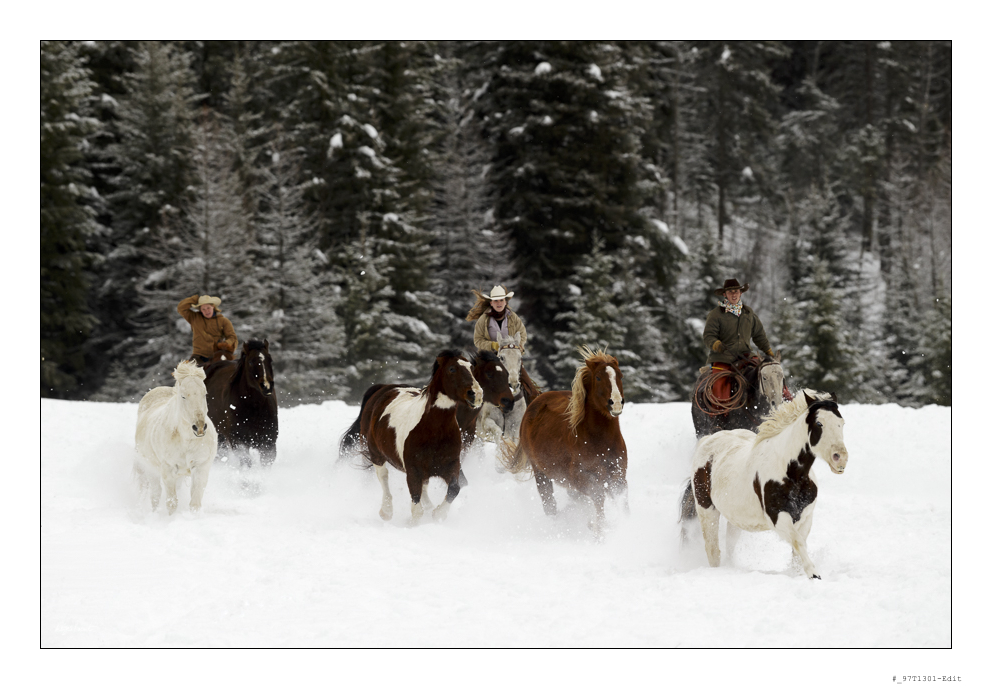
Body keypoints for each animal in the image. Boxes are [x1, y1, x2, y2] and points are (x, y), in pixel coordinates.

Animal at [134, 360, 218, 514]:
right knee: (155, 495)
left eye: (204, 394)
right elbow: (171, 503)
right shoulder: (168, 469)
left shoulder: (201, 467)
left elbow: (195, 503)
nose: (199, 427)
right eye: (183, 396)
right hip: (151, 470)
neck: (186, 440)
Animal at [204, 339, 278, 467]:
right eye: (251, 362)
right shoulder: (239, 442)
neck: (255, 408)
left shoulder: (269, 442)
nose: (266, 386)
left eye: (270, 359)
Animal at [357, 349, 482, 523]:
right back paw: (386, 511)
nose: (476, 394)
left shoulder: (451, 465)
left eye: (471, 368)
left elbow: (454, 489)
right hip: (376, 453)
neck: (434, 431)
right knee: (383, 476)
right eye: (452, 369)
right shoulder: (413, 469)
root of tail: (384, 388)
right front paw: (415, 523)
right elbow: (416, 504)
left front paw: (438, 514)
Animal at [502, 346, 627, 537]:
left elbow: (622, 502)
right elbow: (598, 497)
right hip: (541, 473)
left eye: (620, 375)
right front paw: (599, 532)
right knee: (549, 505)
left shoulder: (619, 476)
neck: (601, 441)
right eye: (598, 377)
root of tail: (537, 400)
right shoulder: (580, 478)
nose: (617, 403)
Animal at [679, 390, 848, 579]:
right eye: (819, 423)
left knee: (729, 545)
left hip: (736, 517)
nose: (840, 458)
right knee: (713, 549)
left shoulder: (805, 518)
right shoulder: (778, 518)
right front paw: (814, 574)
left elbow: (798, 550)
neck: (791, 473)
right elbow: (798, 542)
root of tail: (708, 439)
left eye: (842, 423)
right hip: (707, 509)